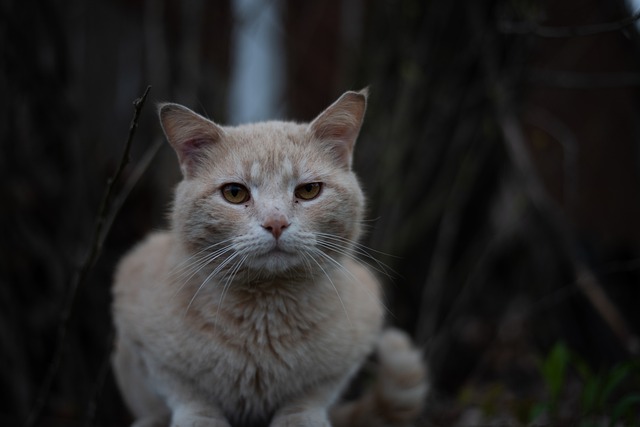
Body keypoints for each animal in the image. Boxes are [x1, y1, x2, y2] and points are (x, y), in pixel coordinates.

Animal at [112, 88, 428, 426]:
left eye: (308, 190)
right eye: (235, 193)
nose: (276, 223)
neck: (265, 314)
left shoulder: (348, 350)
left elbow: (310, 396)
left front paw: (300, 419)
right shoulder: (143, 340)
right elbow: (188, 395)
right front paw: (200, 419)